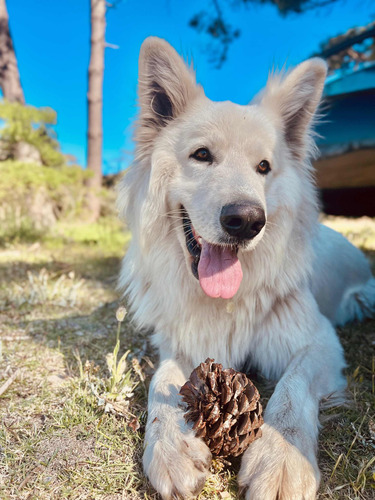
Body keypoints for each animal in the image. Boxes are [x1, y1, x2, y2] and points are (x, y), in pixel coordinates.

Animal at [118, 38, 375, 500]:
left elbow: (292, 388)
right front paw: (170, 445)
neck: (227, 302)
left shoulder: (319, 343)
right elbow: (160, 383)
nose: (247, 221)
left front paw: (284, 459)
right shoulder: (179, 344)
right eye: (202, 155)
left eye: (264, 167)